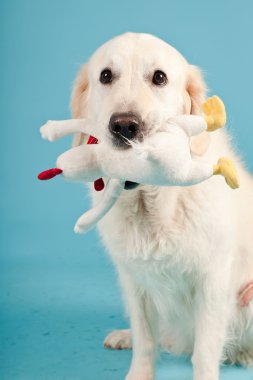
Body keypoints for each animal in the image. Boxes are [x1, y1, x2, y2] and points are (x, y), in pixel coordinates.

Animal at [66, 33, 252, 380]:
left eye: (159, 78)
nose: (125, 126)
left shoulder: (212, 280)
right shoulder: (134, 280)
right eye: (106, 76)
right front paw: (138, 370)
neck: (152, 206)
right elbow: (145, 339)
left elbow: (204, 351)